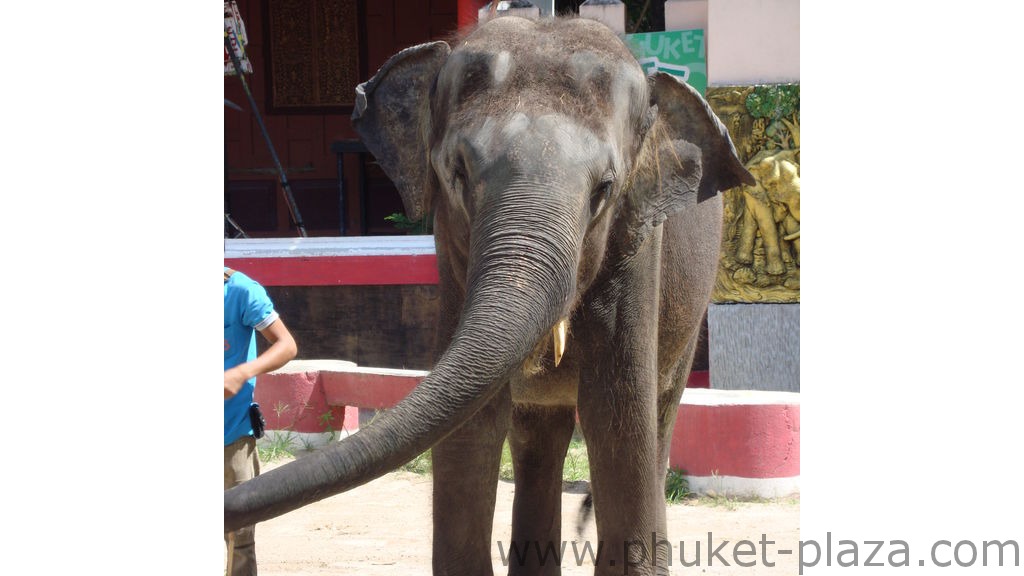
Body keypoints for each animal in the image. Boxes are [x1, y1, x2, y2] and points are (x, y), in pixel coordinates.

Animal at [226, 15, 753, 569]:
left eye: (605, 189)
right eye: (457, 172)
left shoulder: (637, 252)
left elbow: (618, 426)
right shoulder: (452, 268)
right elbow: (467, 431)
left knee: (657, 422)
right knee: (538, 436)